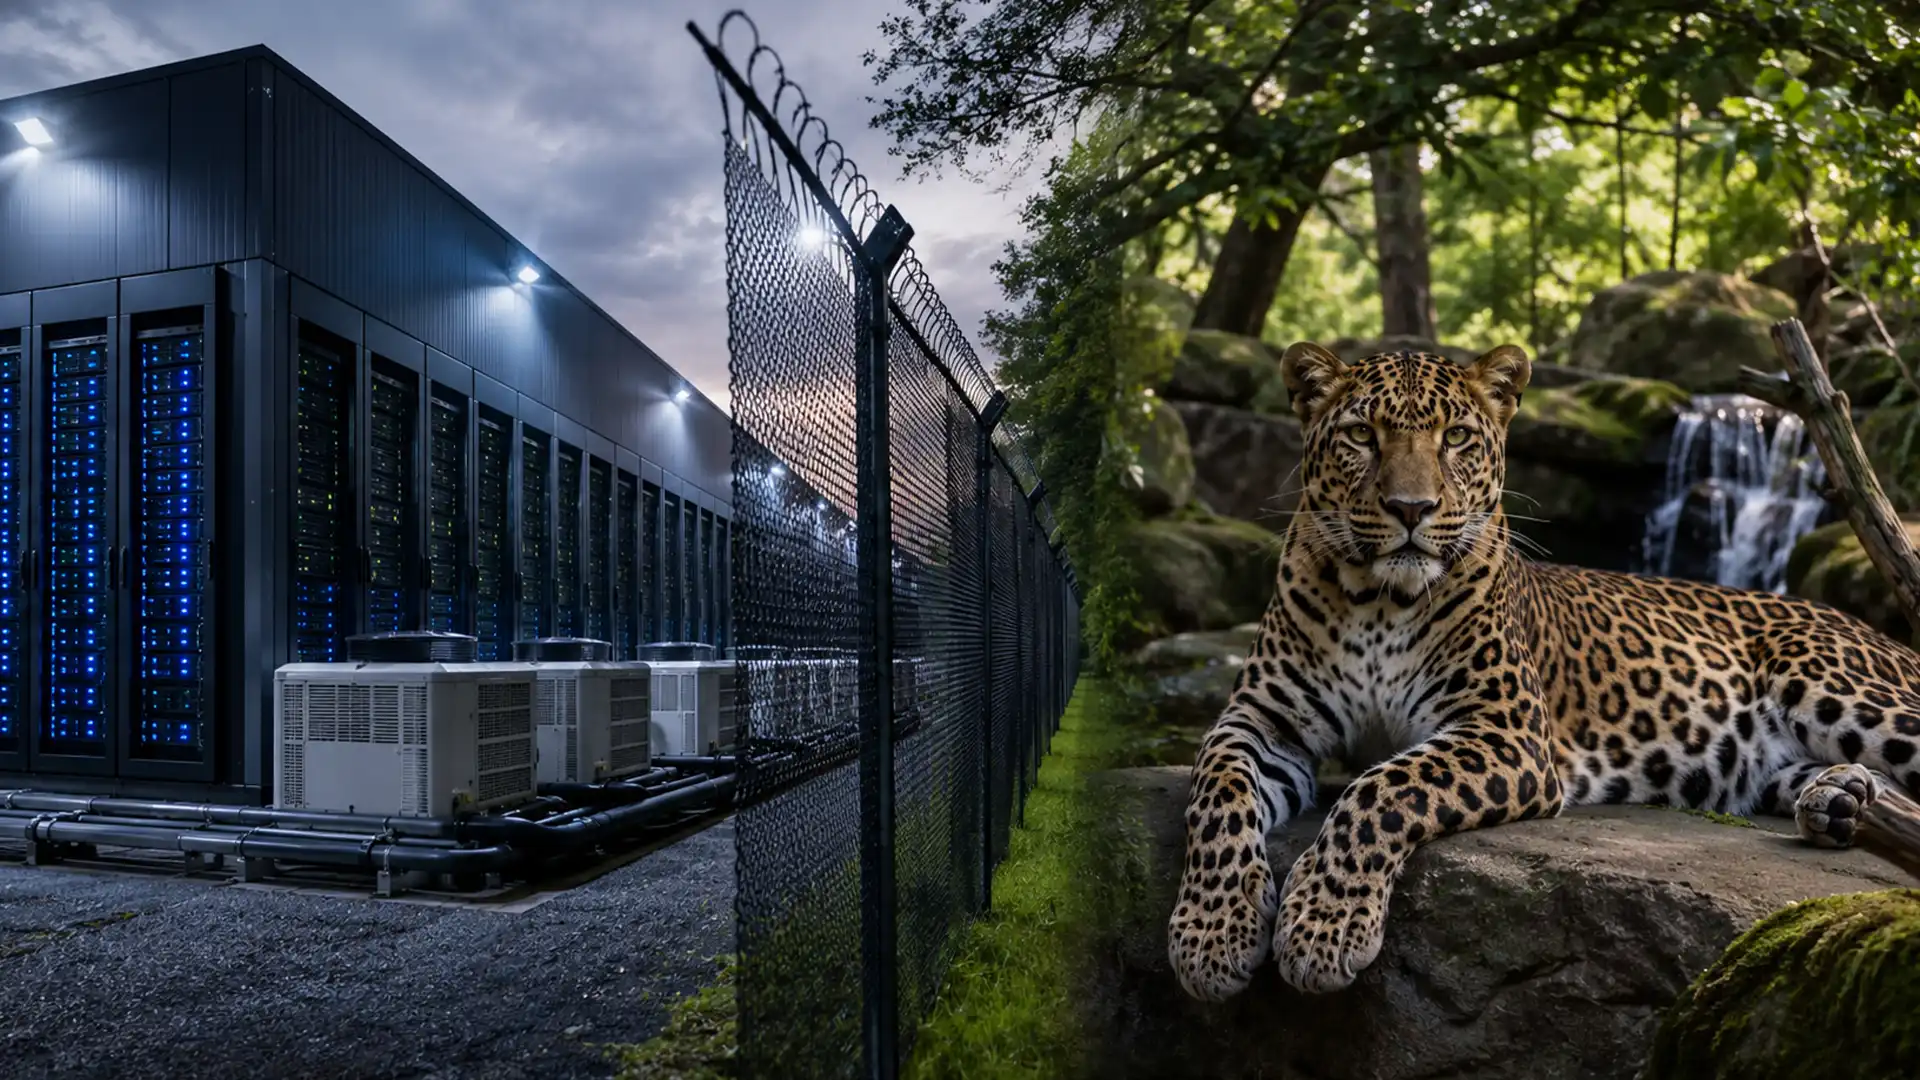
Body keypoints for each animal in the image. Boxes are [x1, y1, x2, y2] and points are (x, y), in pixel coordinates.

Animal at [1167, 341, 1920, 1002]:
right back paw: (1841, 800)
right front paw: (1213, 936)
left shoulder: (1505, 731)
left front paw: (1323, 927)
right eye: (1360, 434)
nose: (1411, 509)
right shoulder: (1262, 721)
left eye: (1456, 438)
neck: (1380, 601)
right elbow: (1218, 794)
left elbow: (1379, 790)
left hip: (1828, 678)